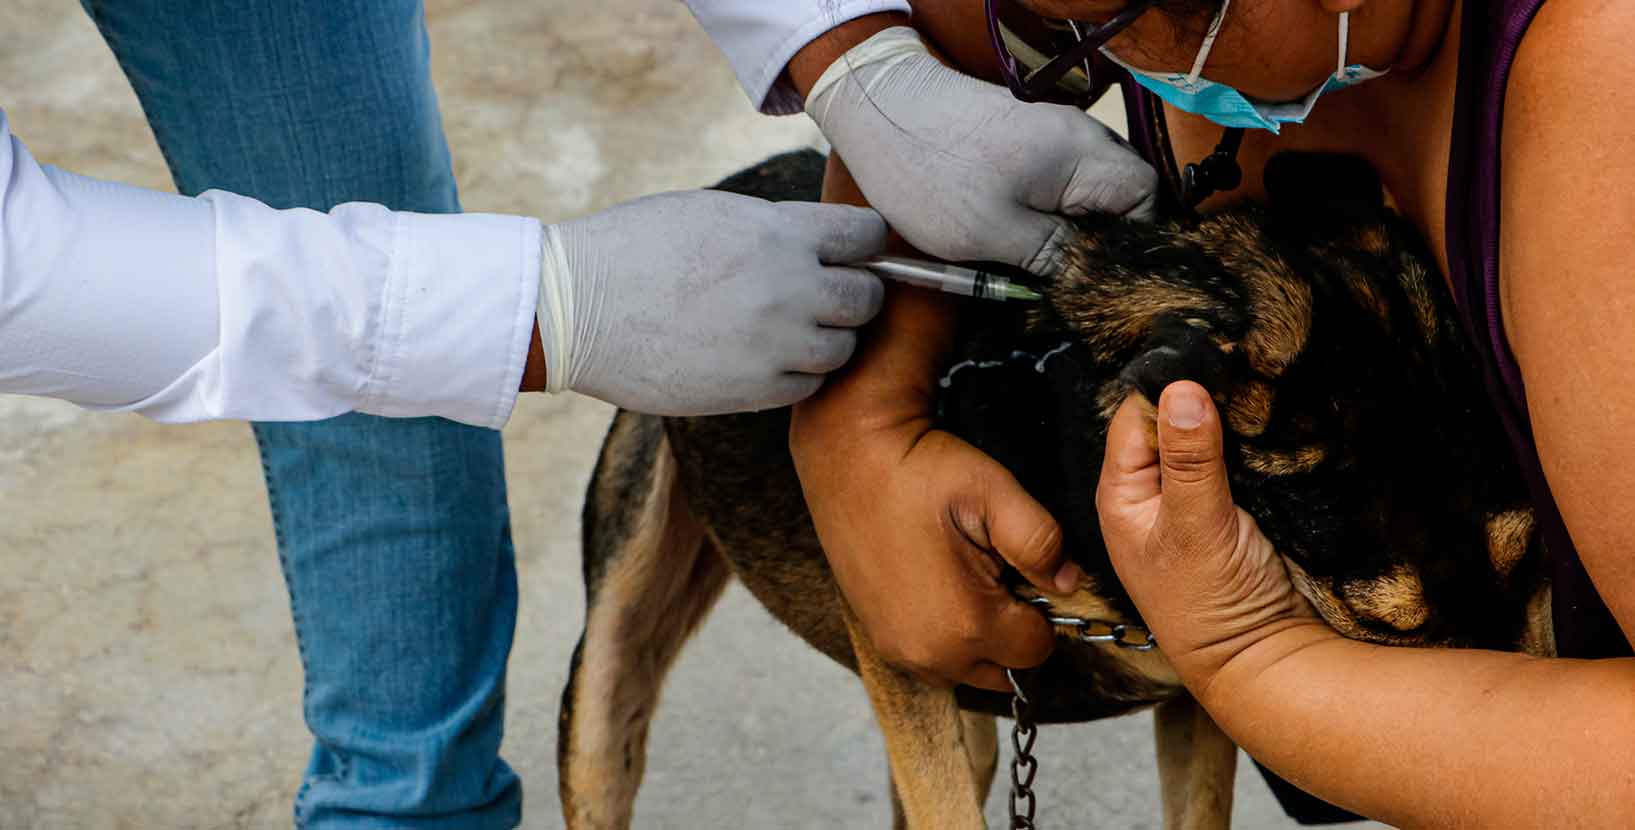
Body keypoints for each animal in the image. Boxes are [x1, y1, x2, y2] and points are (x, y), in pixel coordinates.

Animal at [556, 149, 1555, 829]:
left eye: (1533, 568)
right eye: (1393, 637)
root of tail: (740, 179)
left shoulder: (1201, 701)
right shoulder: (894, 624)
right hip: (614, 654)